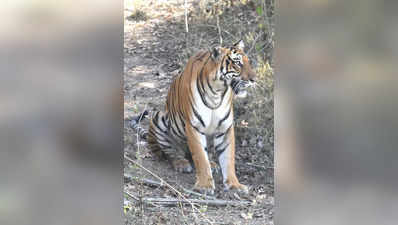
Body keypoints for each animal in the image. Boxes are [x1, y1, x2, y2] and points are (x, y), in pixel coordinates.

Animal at [133, 40, 255, 193]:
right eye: (238, 63)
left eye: (249, 62)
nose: (254, 79)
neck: (217, 92)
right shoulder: (194, 127)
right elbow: (200, 158)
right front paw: (205, 186)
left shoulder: (225, 128)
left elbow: (228, 158)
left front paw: (234, 184)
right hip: (159, 118)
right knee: (170, 152)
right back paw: (181, 163)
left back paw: (213, 164)